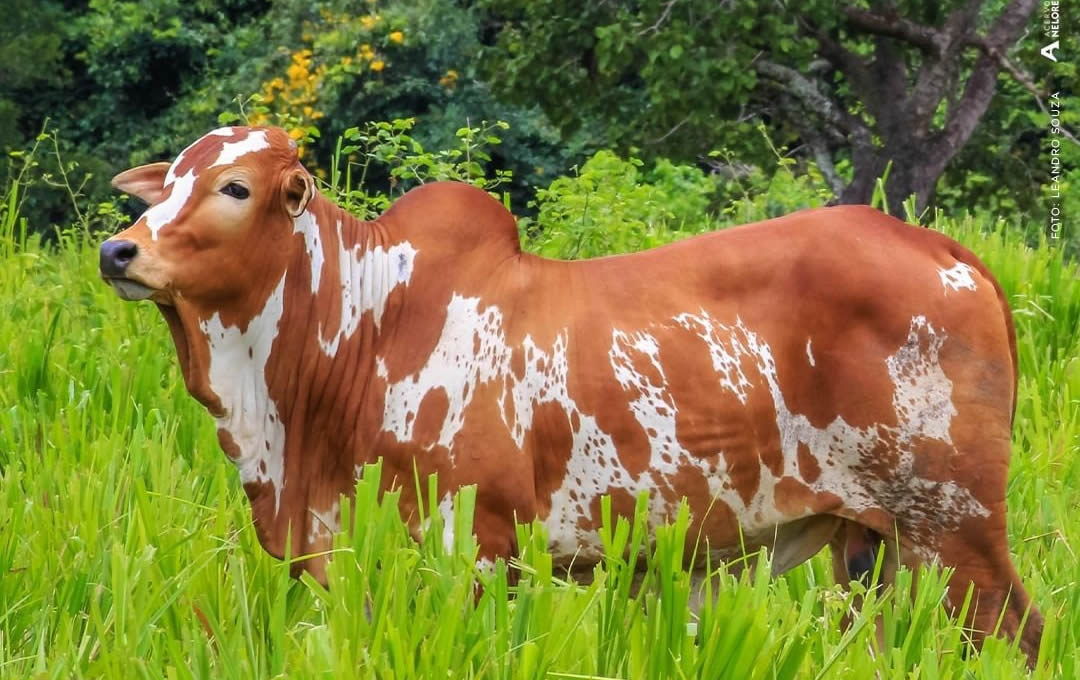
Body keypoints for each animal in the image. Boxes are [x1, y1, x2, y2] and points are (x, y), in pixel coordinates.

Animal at [103, 125, 1045, 664]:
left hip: (956, 531)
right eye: (166, 184)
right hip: (873, 551)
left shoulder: (476, 554)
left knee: (1024, 637)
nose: (120, 251)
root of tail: (946, 251)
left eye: (235, 187)